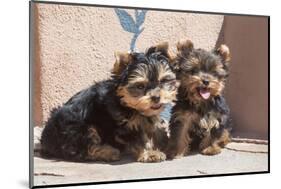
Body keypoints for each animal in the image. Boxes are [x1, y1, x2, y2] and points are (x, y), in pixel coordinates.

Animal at [40, 42, 178, 162]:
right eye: (140, 86)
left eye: (163, 81)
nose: (156, 97)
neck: (126, 102)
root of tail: (45, 139)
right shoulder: (124, 125)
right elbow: (138, 139)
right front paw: (149, 153)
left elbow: (156, 128)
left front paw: (168, 145)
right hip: (77, 128)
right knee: (83, 148)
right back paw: (109, 152)